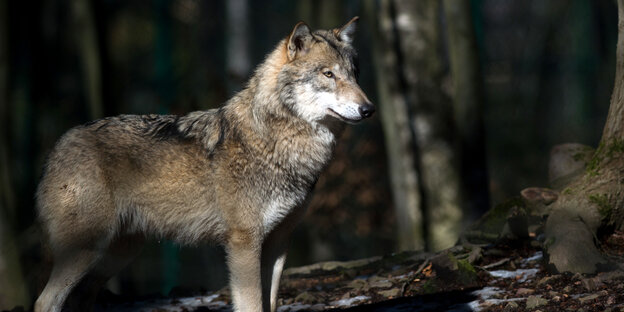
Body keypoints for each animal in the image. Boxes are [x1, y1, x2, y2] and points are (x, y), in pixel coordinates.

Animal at [34, 17, 372, 312]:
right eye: (328, 74)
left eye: (355, 73)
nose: (369, 109)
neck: (276, 141)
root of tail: (59, 144)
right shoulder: (244, 243)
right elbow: (251, 305)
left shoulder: (278, 242)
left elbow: (271, 303)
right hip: (86, 250)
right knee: (44, 301)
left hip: (118, 254)